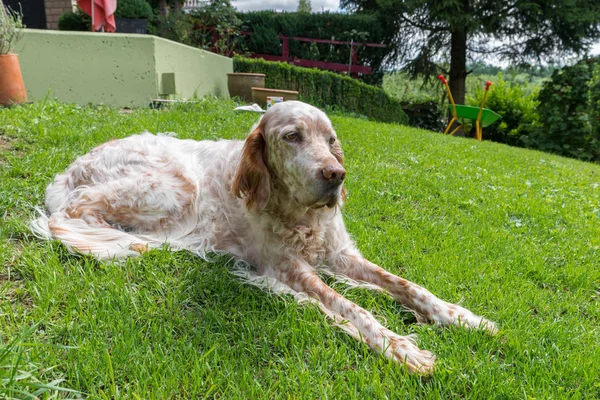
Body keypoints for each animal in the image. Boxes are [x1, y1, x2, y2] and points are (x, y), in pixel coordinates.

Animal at [35, 101, 500, 376]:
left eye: (331, 140)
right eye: (292, 136)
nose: (336, 174)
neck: (298, 215)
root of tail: (66, 172)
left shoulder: (339, 253)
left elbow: (406, 285)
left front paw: (461, 316)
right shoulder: (286, 266)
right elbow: (347, 306)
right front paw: (397, 345)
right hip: (176, 185)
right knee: (70, 217)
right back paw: (134, 240)